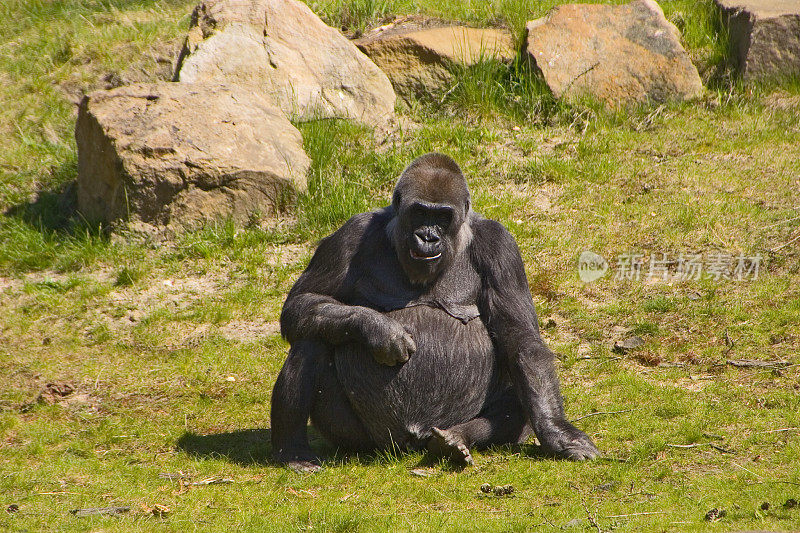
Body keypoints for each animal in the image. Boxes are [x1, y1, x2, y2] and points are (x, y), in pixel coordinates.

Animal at [272, 153, 596, 470]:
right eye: (419, 212)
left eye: (442, 216)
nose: (428, 237)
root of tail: (410, 442)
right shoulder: (351, 233)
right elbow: (302, 301)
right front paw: (380, 330)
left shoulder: (501, 245)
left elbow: (522, 341)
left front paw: (557, 432)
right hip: (367, 439)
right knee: (313, 335)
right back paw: (293, 450)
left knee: (520, 389)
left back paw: (455, 438)